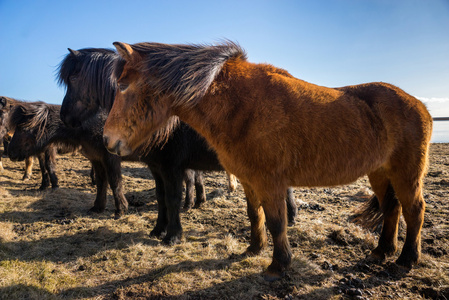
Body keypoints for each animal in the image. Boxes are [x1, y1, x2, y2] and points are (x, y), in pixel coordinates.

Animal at [57, 48, 296, 244]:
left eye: (73, 77)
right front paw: (158, 230)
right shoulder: (156, 168)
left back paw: (291, 216)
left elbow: (172, 199)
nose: (64, 117)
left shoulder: (171, 167)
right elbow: (161, 198)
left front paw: (172, 236)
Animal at [103, 41, 432, 282]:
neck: (241, 107)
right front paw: (253, 249)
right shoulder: (249, 180)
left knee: (414, 210)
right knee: (392, 209)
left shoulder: (270, 182)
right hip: (380, 173)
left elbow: (276, 221)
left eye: (123, 86)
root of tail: (420, 106)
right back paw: (382, 251)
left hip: (405, 174)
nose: (107, 139)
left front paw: (278, 265)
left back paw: (406, 259)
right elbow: (255, 216)